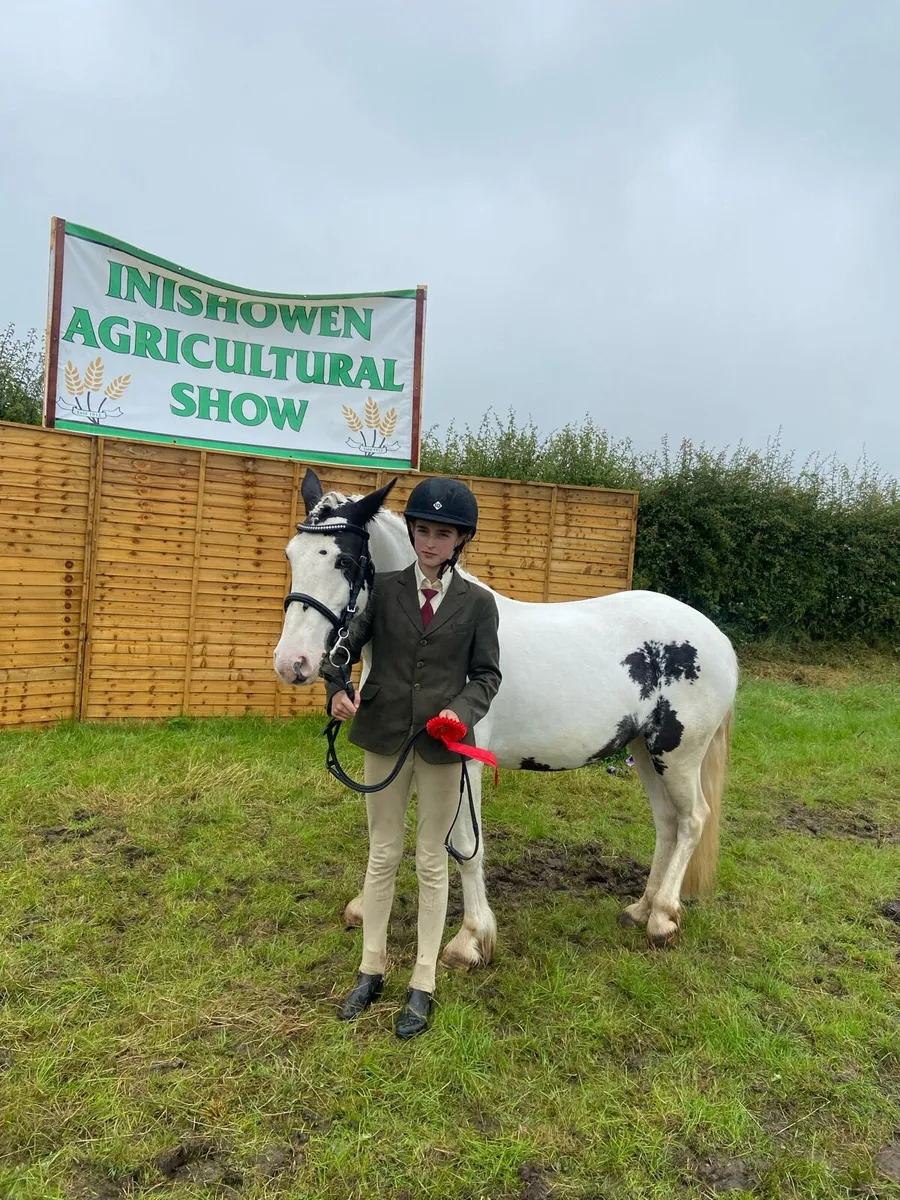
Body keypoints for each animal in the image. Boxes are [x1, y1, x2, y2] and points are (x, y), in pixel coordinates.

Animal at [274, 468, 738, 959]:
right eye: (291, 555)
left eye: (343, 561)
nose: (292, 662)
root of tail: (718, 639)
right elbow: (385, 833)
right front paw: (366, 907)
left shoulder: (463, 761)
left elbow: (465, 847)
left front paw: (470, 938)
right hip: (646, 751)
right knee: (667, 823)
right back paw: (642, 908)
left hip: (678, 754)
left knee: (693, 820)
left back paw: (663, 918)